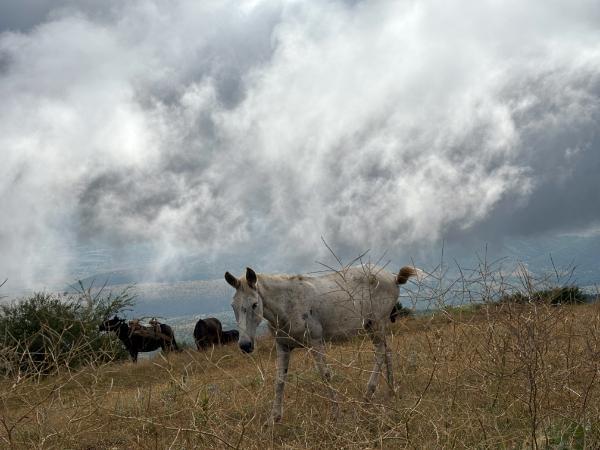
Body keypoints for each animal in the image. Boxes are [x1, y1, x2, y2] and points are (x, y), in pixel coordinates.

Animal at [224, 264, 418, 422]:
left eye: (254, 304)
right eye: (233, 306)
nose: (245, 345)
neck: (288, 304)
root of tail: (392, 277)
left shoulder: (316, 343)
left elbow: (325, 375)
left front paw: (336, 415)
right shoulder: (283, 346)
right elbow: (279, 380)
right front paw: (274, 419)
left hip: (376, 325)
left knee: (380, 353)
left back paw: (368, 396)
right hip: (377, 327)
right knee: (387, 351)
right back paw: (391, 390)